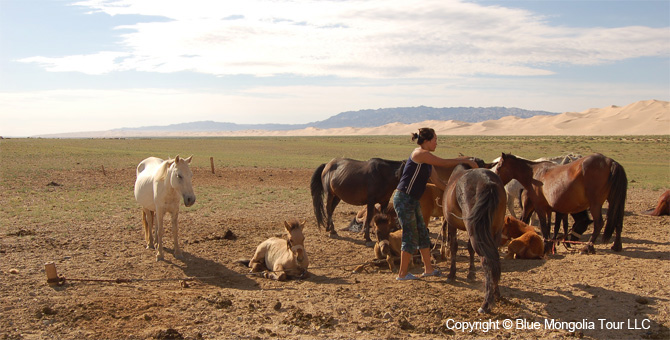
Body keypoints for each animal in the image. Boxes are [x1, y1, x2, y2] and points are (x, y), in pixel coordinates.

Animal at [444, 165, 506, 314]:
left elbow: (454, 246)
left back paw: (486, 303)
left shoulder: (452, 224)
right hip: (493, 231)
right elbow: (469, 248)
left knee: (487, 261)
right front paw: (471, 273)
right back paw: (496, 293)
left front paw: (452, 274)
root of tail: (487, 182)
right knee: (495, 260)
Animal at [494, 153, 632, 254]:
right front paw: (551, 244)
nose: (495, 178)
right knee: (618, 221)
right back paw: (616, 246)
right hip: (614, 200)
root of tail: (611, 162)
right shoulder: (550, 209)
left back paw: (588, 247)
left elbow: (544, 226)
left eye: (499, 166)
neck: (534, 174)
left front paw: (547, 245)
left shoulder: (540, 207)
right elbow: (551, 226)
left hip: (595, 204)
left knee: (599, 223)